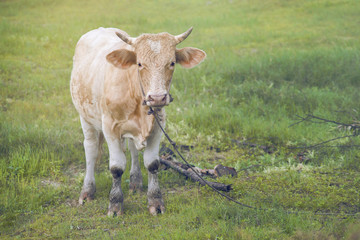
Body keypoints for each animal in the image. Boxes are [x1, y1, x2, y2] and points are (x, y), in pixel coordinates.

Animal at [69, 27, 205, 216]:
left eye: (172, 63)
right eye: (139, 64)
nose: (157, 97)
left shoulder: (158, 126)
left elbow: (152, 164)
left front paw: (155, 201)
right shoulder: (109, 127)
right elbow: (116, 167)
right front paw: (115, 204)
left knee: (132, 149)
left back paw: (135, 182)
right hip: (85, 118)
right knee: (91, 149)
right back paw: (87, 190)